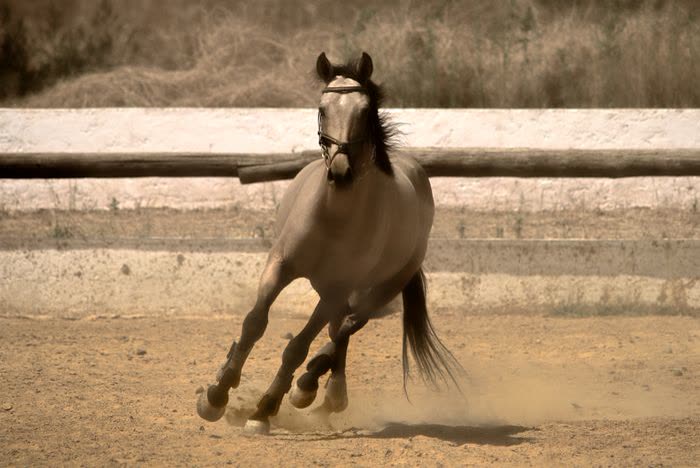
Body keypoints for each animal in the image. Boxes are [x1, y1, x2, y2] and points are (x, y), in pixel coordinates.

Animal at [197, 51, 460, 435]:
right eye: (322, 109)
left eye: (364, 111)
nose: (340, 172)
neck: (334, 217)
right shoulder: (280, 266)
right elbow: (254, 324)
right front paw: (216, 395)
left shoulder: (337, 288)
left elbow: (298, 348)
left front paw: (263, 411)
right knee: (340, 330)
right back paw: (319, 393)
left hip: (378, 287)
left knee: (347, 328)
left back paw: (311, 388)